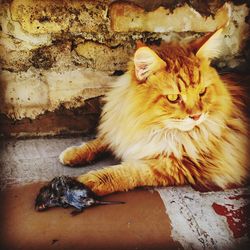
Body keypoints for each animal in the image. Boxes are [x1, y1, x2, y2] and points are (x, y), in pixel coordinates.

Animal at [58, 29, 248, 195]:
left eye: (202, 92)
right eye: (173, 97)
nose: (196, 116)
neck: (153, 128)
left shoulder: (178, 165)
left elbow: (124, 173)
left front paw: (81, 184)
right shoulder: (123, 127)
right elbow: (102, 140)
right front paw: (73, 154)